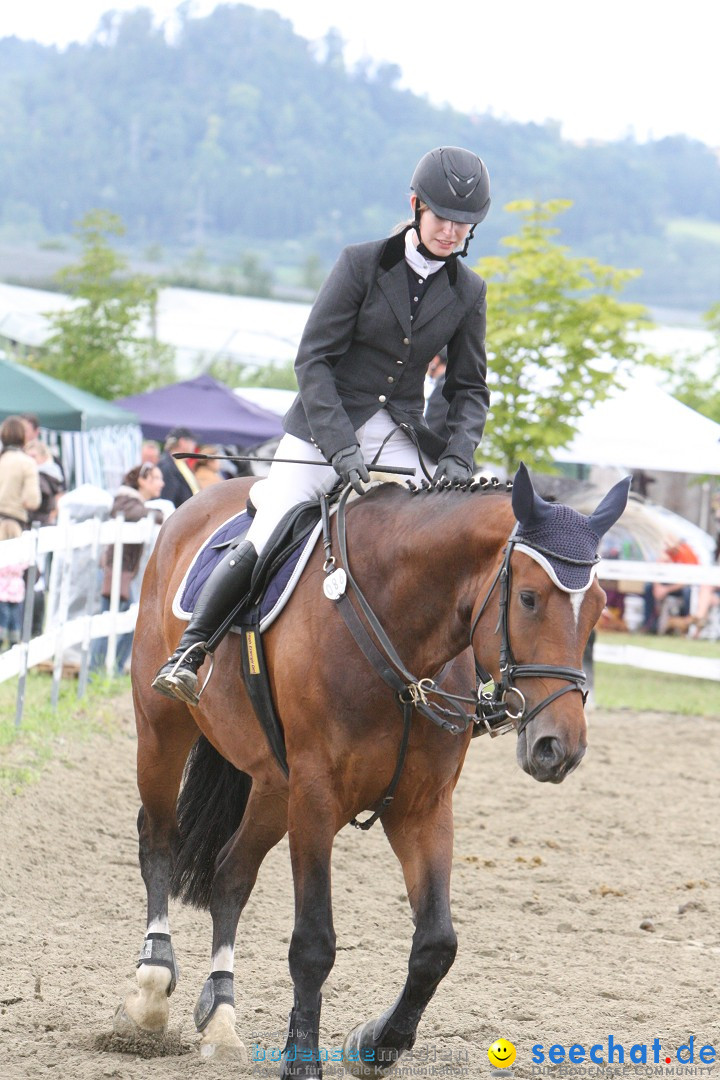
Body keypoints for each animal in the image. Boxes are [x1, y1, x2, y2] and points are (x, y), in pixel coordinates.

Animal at [113, 464, 630, 1080]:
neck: (398, 629)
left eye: (598, 605)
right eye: (528, 598)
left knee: (230, 872)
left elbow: (436, 945)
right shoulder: (316, 798)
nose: (560, 747)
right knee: (158, 840)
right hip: (162, 730)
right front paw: (302, 1062)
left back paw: (221, 1018)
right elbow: (313, 944)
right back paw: (149, 990)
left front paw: (376, 1044)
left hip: (273, 787)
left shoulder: (421, 807)